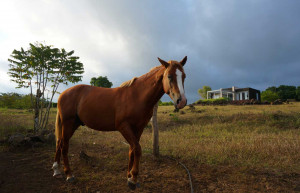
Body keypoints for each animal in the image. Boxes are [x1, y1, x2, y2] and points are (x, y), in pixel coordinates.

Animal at [51, 55, 188, 190]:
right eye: (169, 76)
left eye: (184, 76)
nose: (181, 101)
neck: (137, 96)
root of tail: (63, 94)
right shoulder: (124, 127)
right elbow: (137, 149)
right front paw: (133, 179)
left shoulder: (139, 128)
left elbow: (132, 150)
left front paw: (129, 176)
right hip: (68, 123)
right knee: (64, 146)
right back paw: (69, 175)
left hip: (74, 124)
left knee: (59, 143)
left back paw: (56, 170)